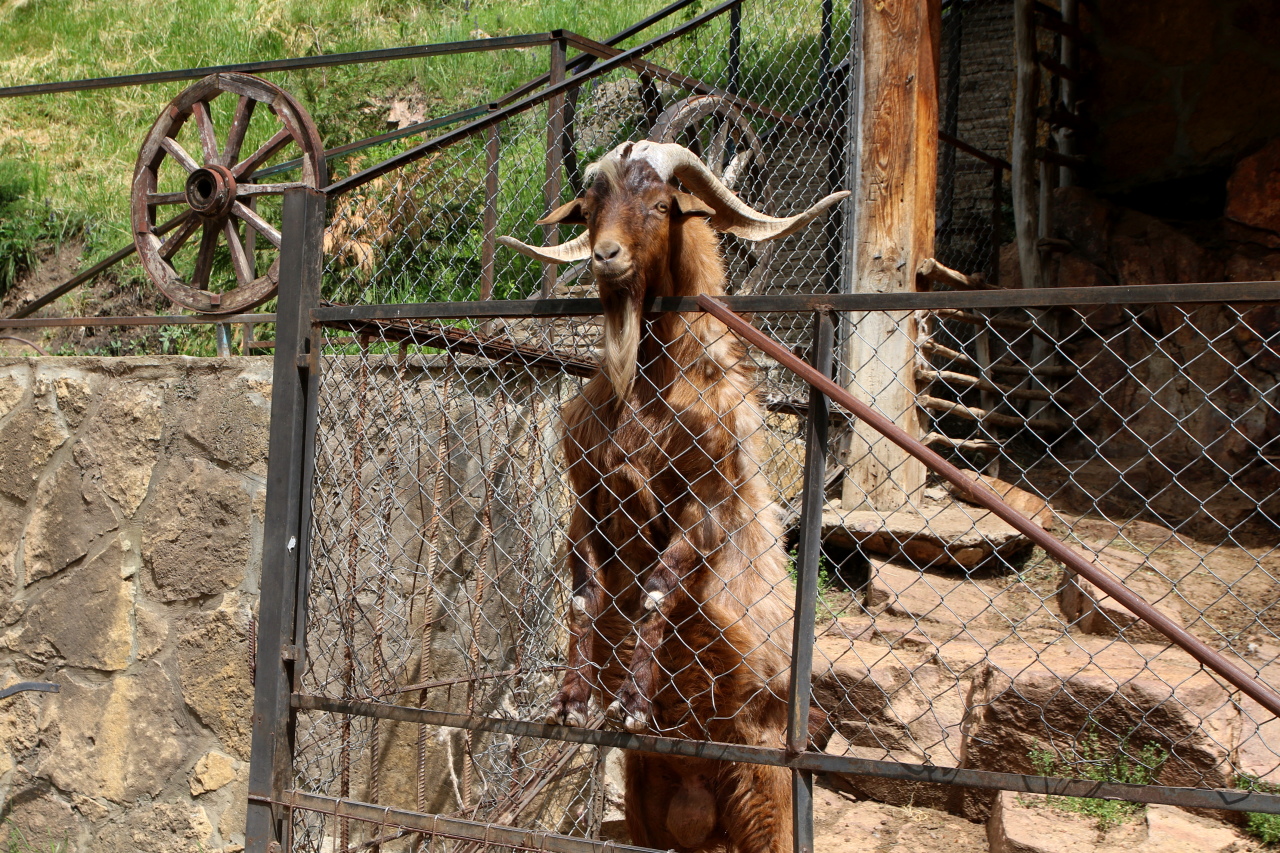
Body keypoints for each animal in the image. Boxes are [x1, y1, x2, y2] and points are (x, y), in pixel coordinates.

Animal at [499, 142, 849, 850]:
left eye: (662, 204)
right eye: (591, 206)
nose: (605, 256)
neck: (649, 389)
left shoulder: (706, 501)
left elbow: (658, 588)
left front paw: (634, 701)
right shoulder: (588, 500)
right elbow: (583, 598)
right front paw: (574, 701)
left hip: (766, 786)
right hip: (649, 803)